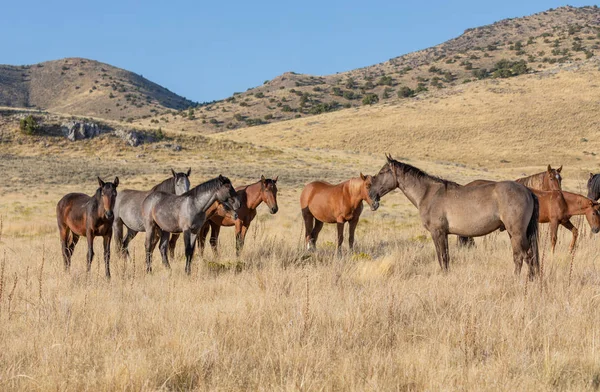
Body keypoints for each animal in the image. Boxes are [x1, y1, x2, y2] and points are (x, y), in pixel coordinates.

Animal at [368, 155, 540, 280]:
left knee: (524, 256)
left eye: (382, 172)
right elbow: (445, 257)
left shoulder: (438, 233)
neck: (428, 193)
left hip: (517, 233)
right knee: (522, 256)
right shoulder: (443, 234)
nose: (371, 195)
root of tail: (527, 190)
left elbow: (443, 257)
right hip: (514, 234)